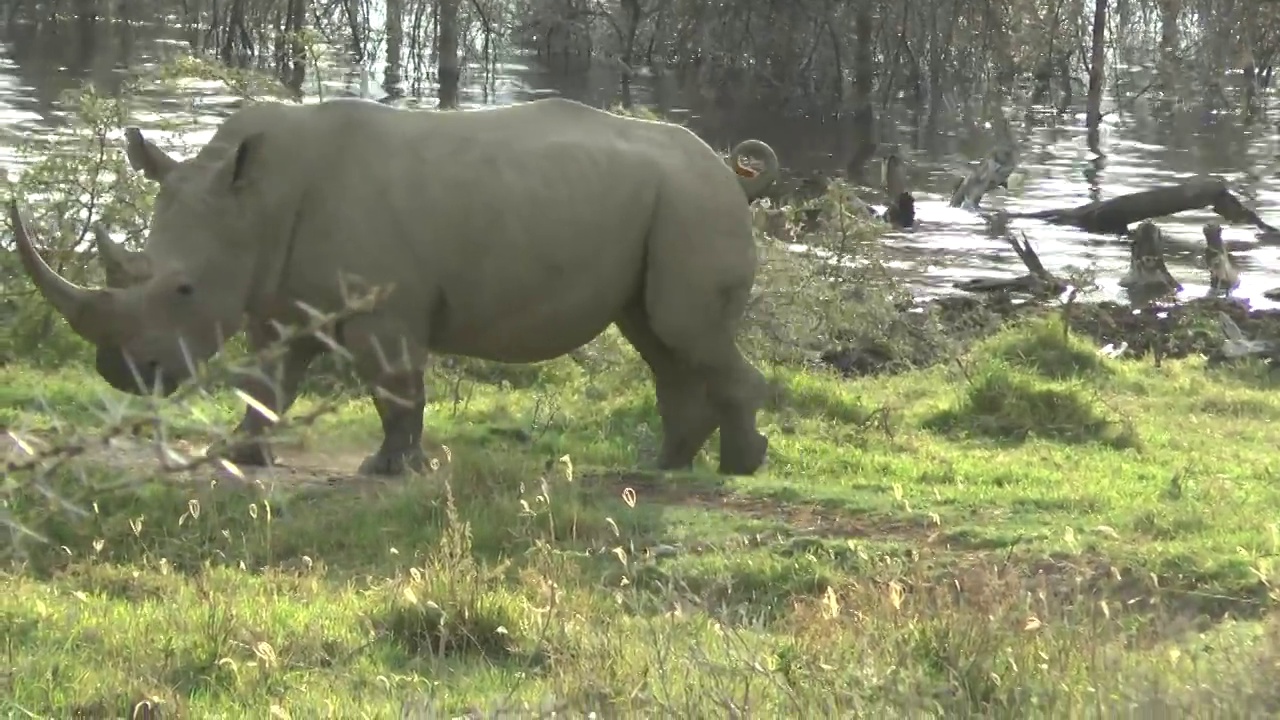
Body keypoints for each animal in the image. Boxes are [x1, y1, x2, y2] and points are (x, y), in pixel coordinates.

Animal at [12, 96, 778, 476]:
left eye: (184, 291)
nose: (119, 372)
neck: (253, 200)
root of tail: (732, 172)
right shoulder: (277, 297)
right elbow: (266, 380)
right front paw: (241, 457)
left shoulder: (387, 306)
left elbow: (393, 384)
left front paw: (389, 469)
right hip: (670, 204)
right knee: (658, 338)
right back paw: (664, 467)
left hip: (693, 202)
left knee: (683, 331)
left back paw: (738, 469)